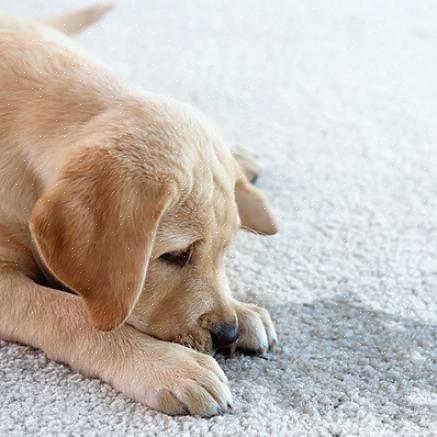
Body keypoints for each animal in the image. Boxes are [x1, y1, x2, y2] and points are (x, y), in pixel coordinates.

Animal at [0, 4, 278, 416]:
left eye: (225, 251)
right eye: (175, 255)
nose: (226, 332)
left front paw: (243, 310)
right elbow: (69, 313)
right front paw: (166, 364)